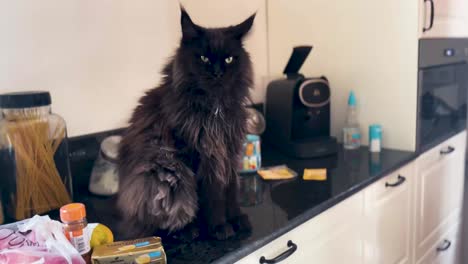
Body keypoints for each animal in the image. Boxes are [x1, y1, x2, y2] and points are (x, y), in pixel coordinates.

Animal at [118, 8, 256, 240]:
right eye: (203, 58)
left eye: (229, 59)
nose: (217, 72)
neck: (215, 110)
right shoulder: (196, 156)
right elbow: (210, 197)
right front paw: (218, 226)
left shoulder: (228, 152)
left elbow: (230, 192)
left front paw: (236, 219)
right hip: (162, 177)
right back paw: (188, 231)